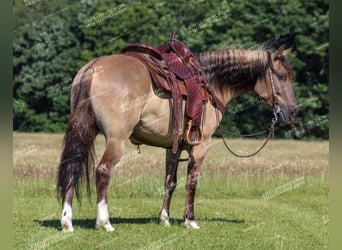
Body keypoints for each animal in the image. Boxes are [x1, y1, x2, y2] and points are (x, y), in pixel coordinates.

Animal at [56, 43, 296, 232]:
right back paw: (105, 222)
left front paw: (164, 219)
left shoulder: (174, 147)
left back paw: (67, 222)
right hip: (116, 140)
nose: (293, 113)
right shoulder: (201, 146)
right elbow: (192, 181)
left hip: (84, 132)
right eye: (282, 76)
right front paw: (190, 221)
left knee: (73, 168)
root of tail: (93, 68)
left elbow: (170, 182)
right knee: (103, 171)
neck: (211, 82)